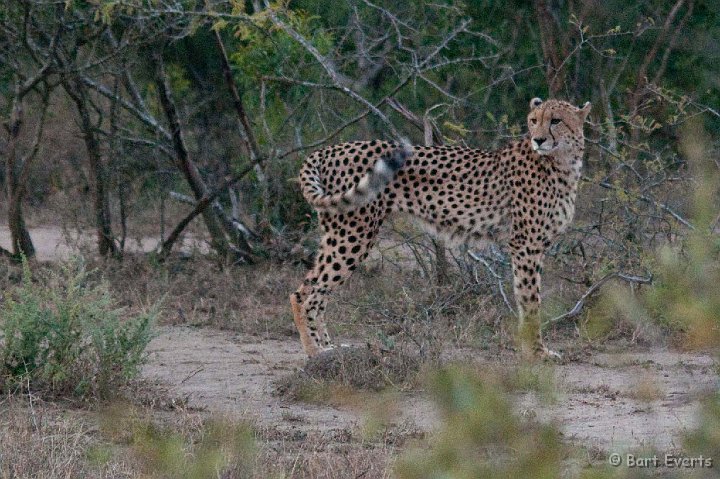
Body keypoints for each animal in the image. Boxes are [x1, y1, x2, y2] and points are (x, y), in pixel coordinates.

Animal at [292, 98, 592, 360]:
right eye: (534, 120)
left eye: (556, 120)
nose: (538, 139)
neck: (562, 162)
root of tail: (330, 149)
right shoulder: (526, 245)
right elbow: (530, 301)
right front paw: (537, 353)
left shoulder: (533, 246)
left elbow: (526, 298)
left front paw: (532, 350)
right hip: (353, 234)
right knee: (305, 293)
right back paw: (314, 352)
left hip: (340, 233)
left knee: (317, 292)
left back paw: (329, 349)